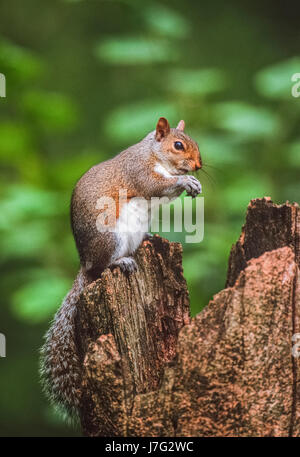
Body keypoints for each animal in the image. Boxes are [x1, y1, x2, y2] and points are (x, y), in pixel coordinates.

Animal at [39, 116, 203, 416]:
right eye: (178, 145)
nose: (198, 165)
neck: (153, 153)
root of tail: (85, 264)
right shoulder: (139, 172)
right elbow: (155, 186)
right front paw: (185, 180)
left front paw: (193, 183)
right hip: (110, 237)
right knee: (104, 267)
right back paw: (120, 260)